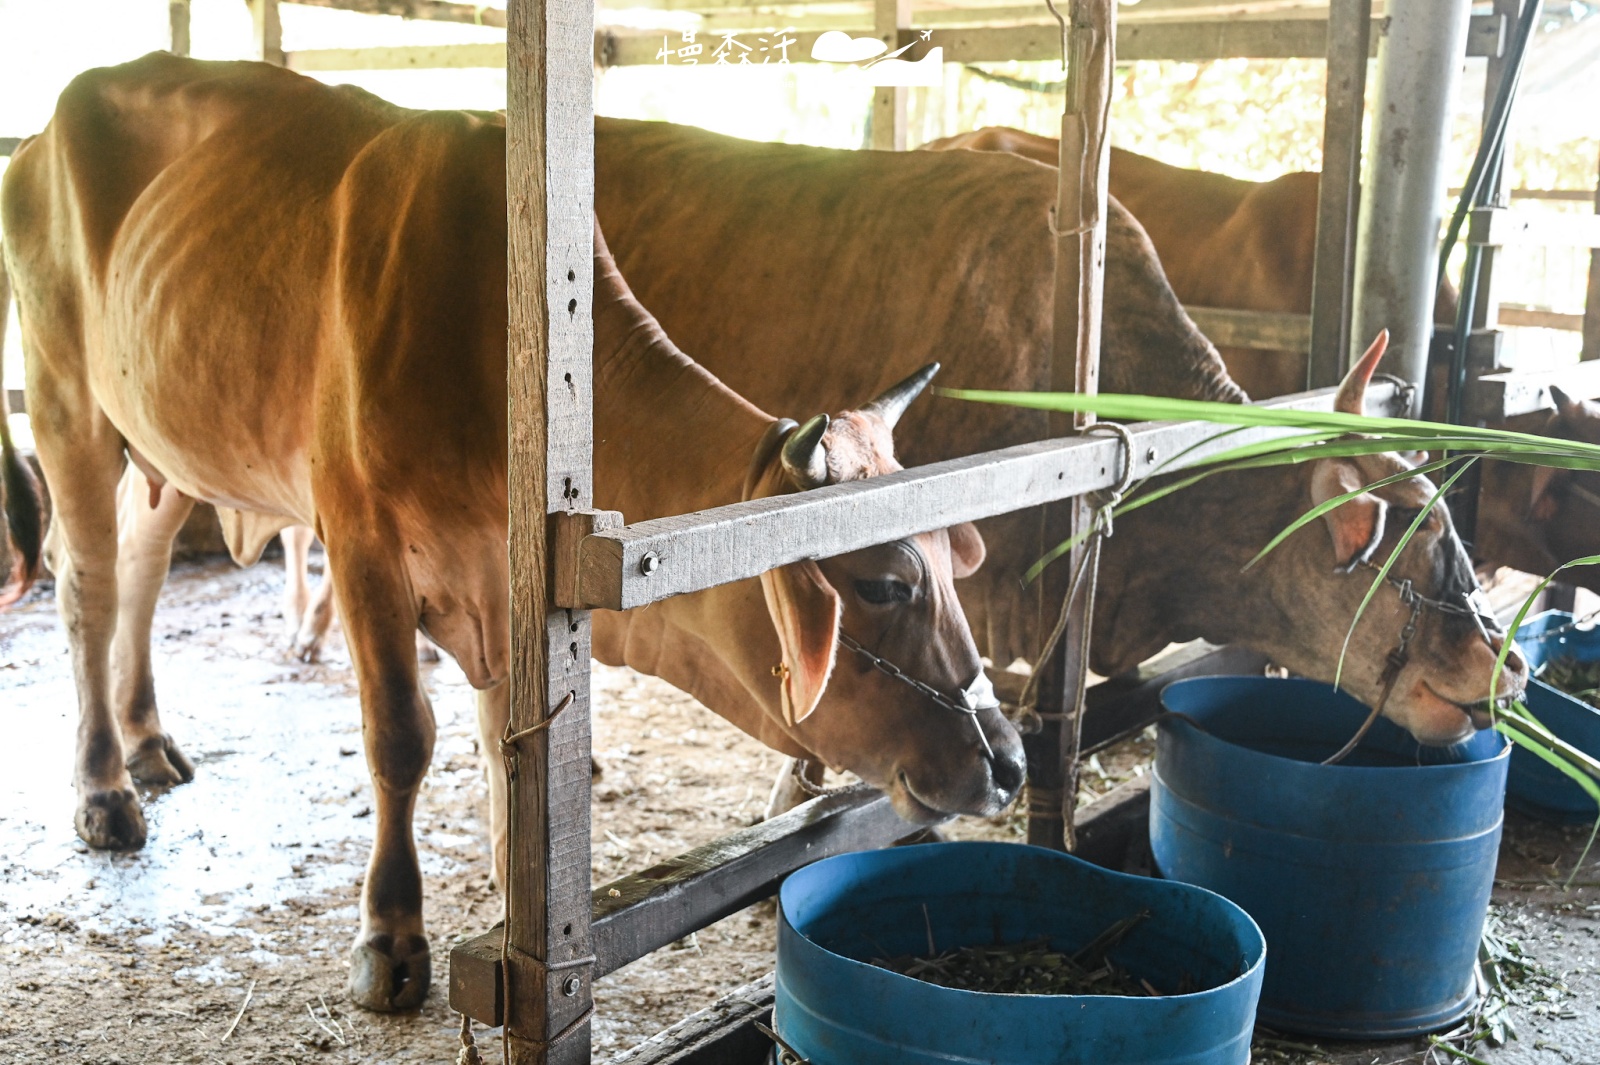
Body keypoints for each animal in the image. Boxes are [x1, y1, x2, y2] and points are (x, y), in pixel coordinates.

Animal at [3, 53, 1024, 1010]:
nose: (1007, 760)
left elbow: (510, 743)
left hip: (168, 437)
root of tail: (49, 125)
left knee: (141, 563)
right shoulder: (361, 537)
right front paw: (392, 939)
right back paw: (105, 785)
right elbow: (402, 738)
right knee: (88, 585)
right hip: (65, 399)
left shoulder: (508, 574)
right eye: (885, 583)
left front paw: (511, 895)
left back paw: (147, 740)